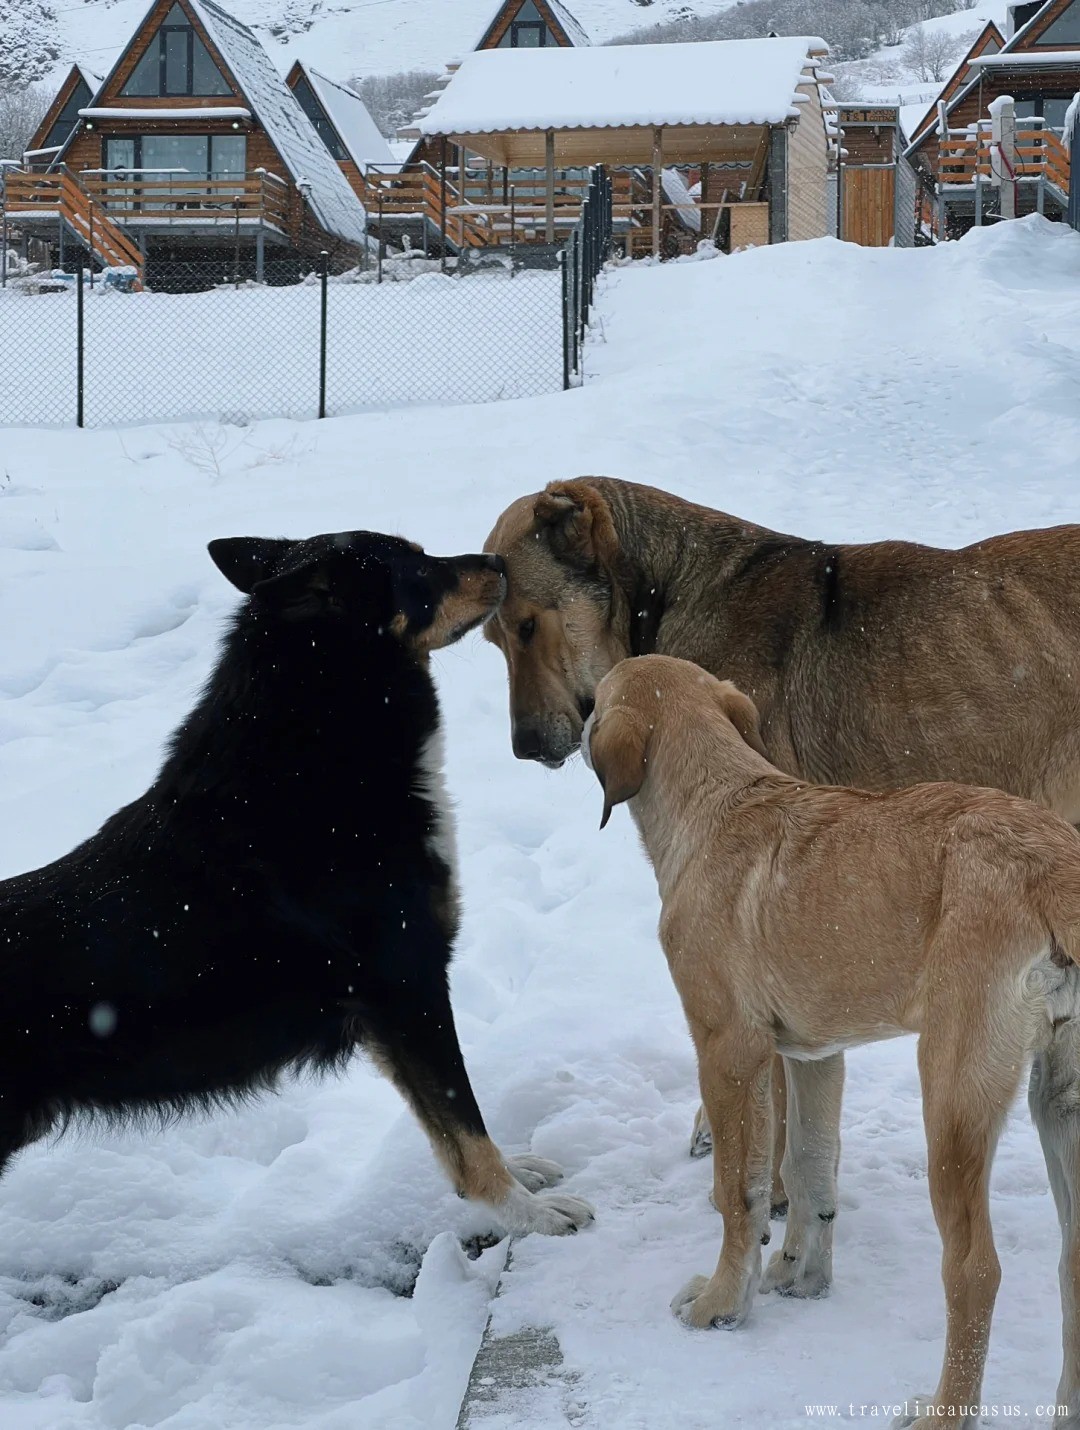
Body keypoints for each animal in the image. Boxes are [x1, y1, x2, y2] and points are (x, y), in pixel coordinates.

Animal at [0, 537, 592, 1241]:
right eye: (417, 568)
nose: (499, 563)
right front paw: (526, 1213)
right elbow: (463, 1124)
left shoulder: (387, 1013)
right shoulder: (408, 987)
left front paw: (518, 1181)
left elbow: (446, 1133)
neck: (318, 762)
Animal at [586, 654, 1080, 1430]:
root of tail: (1051, 866)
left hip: (954, 1093)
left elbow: (739, 1190)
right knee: (1075, 1264)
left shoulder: (729, 1051)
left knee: (974, 1269)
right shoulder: (812, 1056)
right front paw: (801, 1276)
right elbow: (811, 1167)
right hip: (1059, 1101)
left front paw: (723, 1303)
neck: (720, 801)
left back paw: (945, 1411)